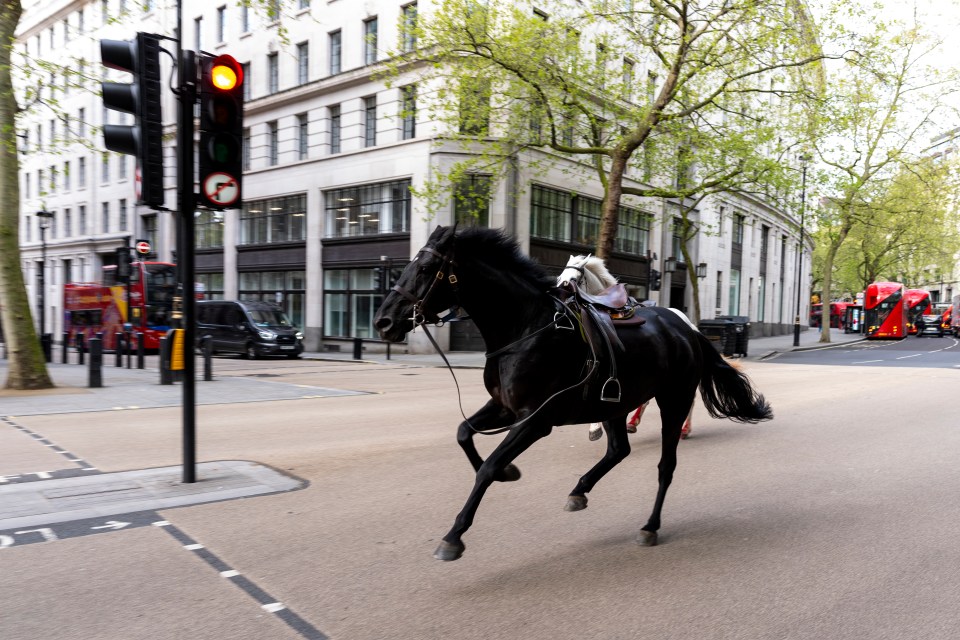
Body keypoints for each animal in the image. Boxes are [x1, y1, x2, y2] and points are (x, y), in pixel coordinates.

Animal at [376, 226, 772, 560]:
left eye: (426, 267)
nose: (384, 321)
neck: (526, 329)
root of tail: (687, 328)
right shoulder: (505, 407)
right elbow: (464, 434)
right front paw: (509, 472)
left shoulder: (535, 421)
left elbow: (487, 467)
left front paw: (454, 535)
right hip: (616, 403)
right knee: (618, 449)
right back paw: (580, 490)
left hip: (673, 400)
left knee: (665, 466)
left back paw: (650, 526)